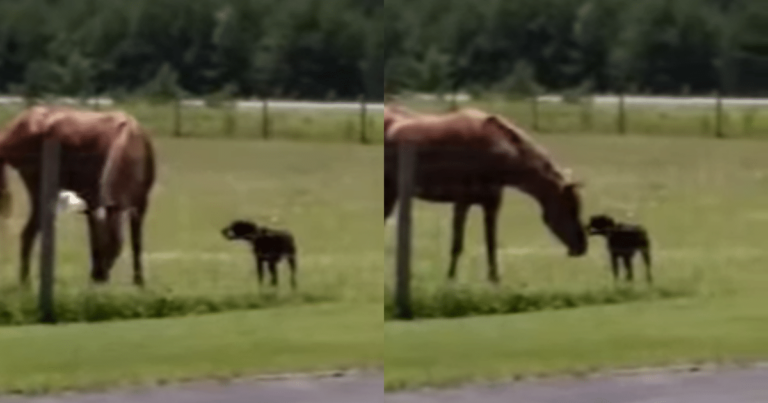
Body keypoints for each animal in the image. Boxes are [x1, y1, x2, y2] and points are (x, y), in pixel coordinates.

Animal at [0, 105, 156, 286]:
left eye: (113, 244)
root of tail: (10, 132)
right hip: (39, 187)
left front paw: (139, 281)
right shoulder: (95, 201)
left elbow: (136, 243)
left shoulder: (140, 202)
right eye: (101, 244)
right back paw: (26, 282)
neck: (131, 142)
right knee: (29, 232)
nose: (98, 276)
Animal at [384, 107, 588, 284]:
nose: (582, 247)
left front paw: (494, 279)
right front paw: (451, 279)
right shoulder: (462, 203)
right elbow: (457, 244)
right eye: (570, 209)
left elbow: (491, 244)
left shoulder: (491, 205)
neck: (490, 152)